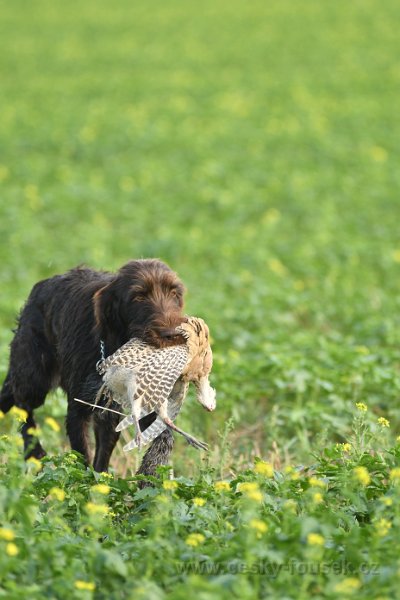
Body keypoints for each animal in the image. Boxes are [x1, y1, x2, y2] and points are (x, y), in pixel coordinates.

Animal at [0, 260, 187, 476]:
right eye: (138, 296)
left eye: (174, 293)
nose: (173, 334)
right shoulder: (78, 408)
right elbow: (81, 456)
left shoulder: (112, 409)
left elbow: (162, 436)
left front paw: (148, 472)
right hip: (33, 377)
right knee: (22, 406)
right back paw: (34, 452)